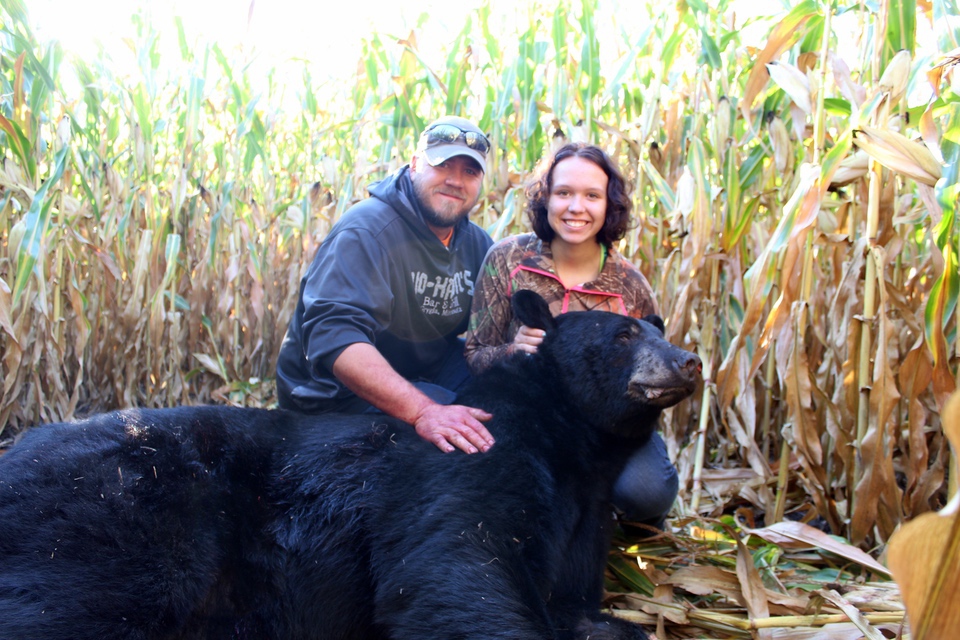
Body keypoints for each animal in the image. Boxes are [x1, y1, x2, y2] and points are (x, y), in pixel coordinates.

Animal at [1, 292, 704, 640]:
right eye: (622, 334)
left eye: (659, 326)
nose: (689, 359)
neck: (574, 444)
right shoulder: (473, 455)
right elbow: (453, 562)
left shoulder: (588, 512)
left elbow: (581, 605)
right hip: (119, 514)